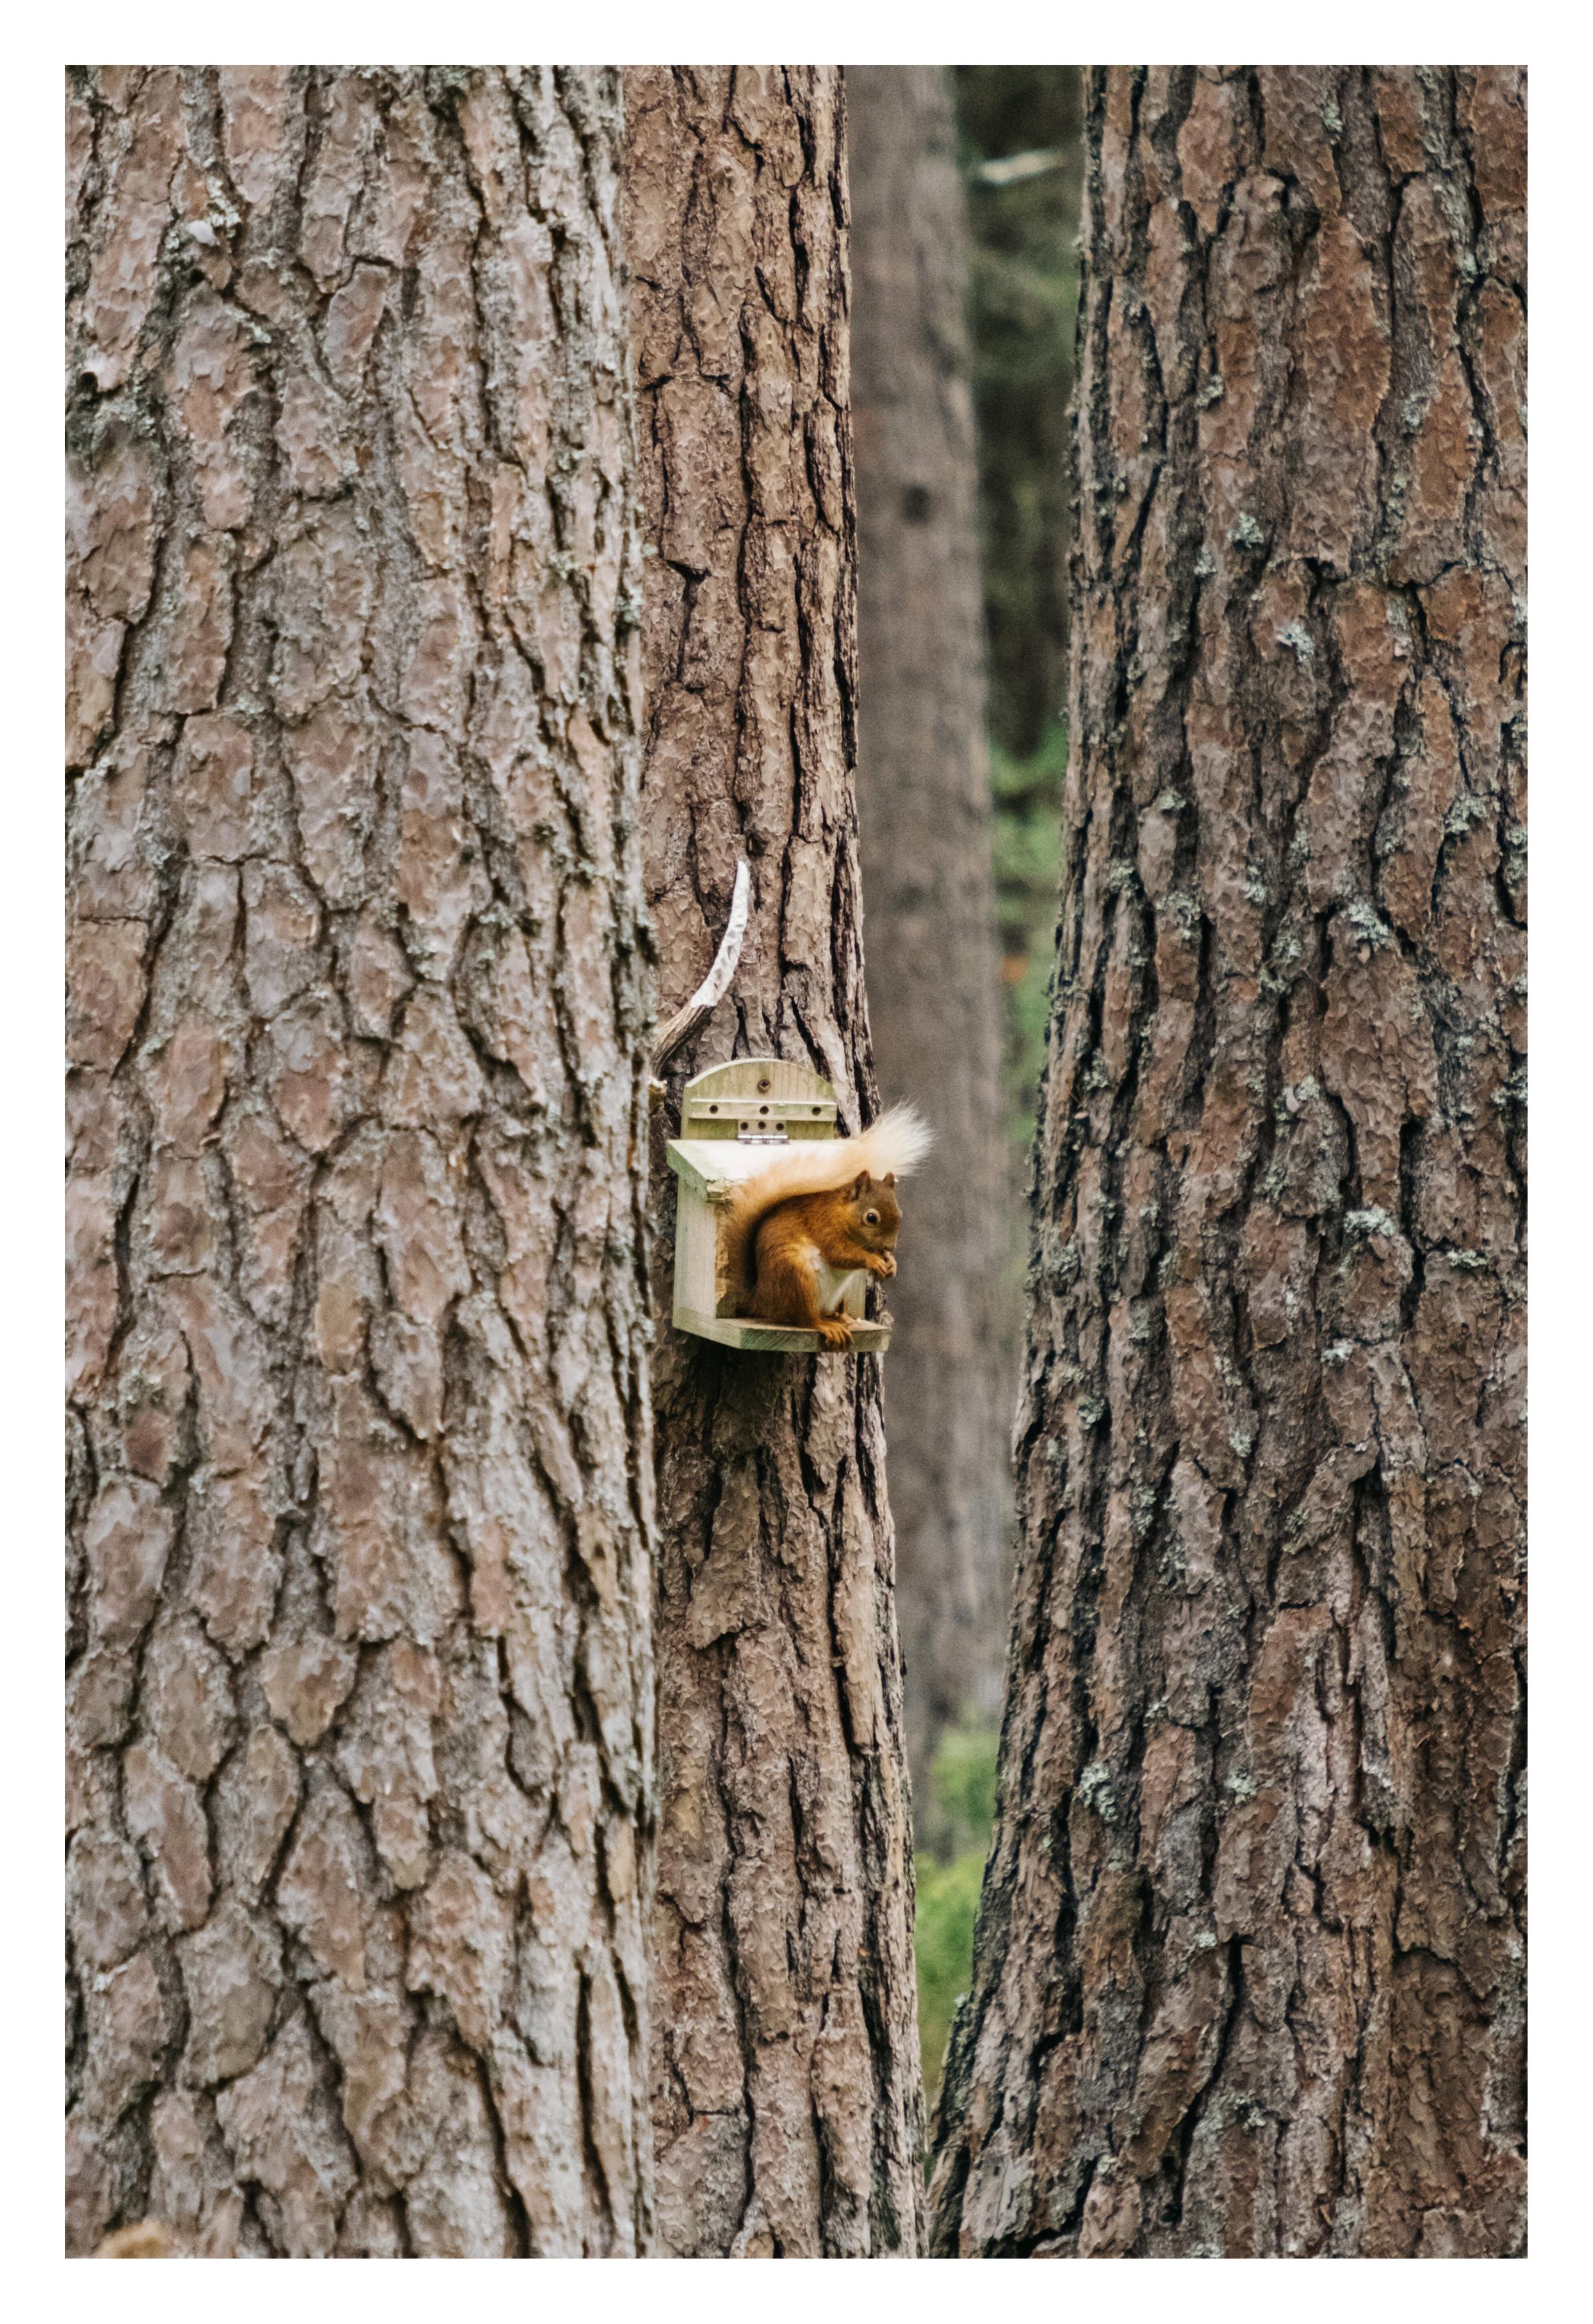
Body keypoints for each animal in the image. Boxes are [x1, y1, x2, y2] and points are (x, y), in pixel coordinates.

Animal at [721, 1105, 931, 1348]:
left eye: (899, 1214)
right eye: (871, 1218)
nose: (890, 1247)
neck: (841, 1213)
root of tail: (763, 1301)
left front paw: (891, 1264)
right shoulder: (824, 1226)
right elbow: (839, 1253)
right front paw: (874, 1261)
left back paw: (842, 1318)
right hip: (798, 1275)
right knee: (805, 1319)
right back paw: (827, 1325)